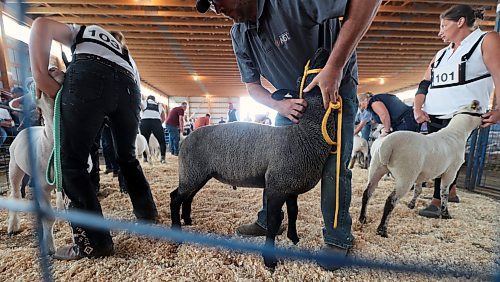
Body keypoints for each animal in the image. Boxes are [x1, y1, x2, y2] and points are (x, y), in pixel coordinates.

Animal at [360, 100, 484, 237]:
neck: (457, 133)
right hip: (406, 175)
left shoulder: (420, 175)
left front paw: (411, 204)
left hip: (376, 168)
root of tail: (388, 143)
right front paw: (445, 214)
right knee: (391, 200)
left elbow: (418, 190)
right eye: (479, 109)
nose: (486, 118)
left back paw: (363, 218)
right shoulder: (450, 172)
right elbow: (444, 192)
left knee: (367, 192)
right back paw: (382, 230)